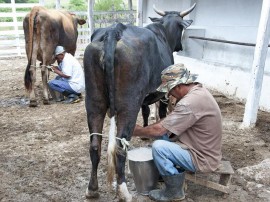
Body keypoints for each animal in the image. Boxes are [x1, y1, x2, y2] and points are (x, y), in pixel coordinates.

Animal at [83, 3, 195, 201]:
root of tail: (114, 31)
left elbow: (146, 110)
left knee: (95, 145)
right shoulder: (162, 94)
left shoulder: (144, 97)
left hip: (94, 101)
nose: (180, 46)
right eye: (181, 28)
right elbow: (161, 116)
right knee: (120, 147)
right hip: (128, 105)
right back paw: (123, 192)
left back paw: (92, 189)